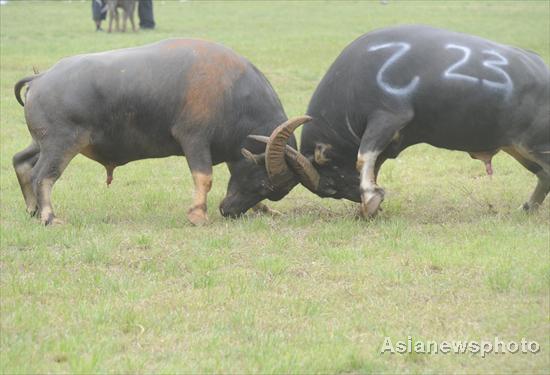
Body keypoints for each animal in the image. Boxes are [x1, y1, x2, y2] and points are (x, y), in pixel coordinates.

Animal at [12, 39, 314, 225]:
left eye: (272, 191)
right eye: (264, 184)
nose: (228, 211)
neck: (233, 93)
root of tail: (40, 78)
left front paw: (262, 210)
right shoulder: (194, 139)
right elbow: (204, 177)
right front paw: (197, 215)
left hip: (40, 143)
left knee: (21, 162)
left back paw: (32, 210)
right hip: (61, 145)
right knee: (43, 176)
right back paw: (49, 217)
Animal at [256, 25, 550, 217]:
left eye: (330, 187)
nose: (354, 197)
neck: (351, 82)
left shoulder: (387, 117)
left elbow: (363, 157)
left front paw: (370, 200)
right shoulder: (390, 140)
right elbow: (373, 165)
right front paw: (369, 200)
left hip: (536, 146)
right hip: (519, 148)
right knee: (543, 175)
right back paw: (528, 208)